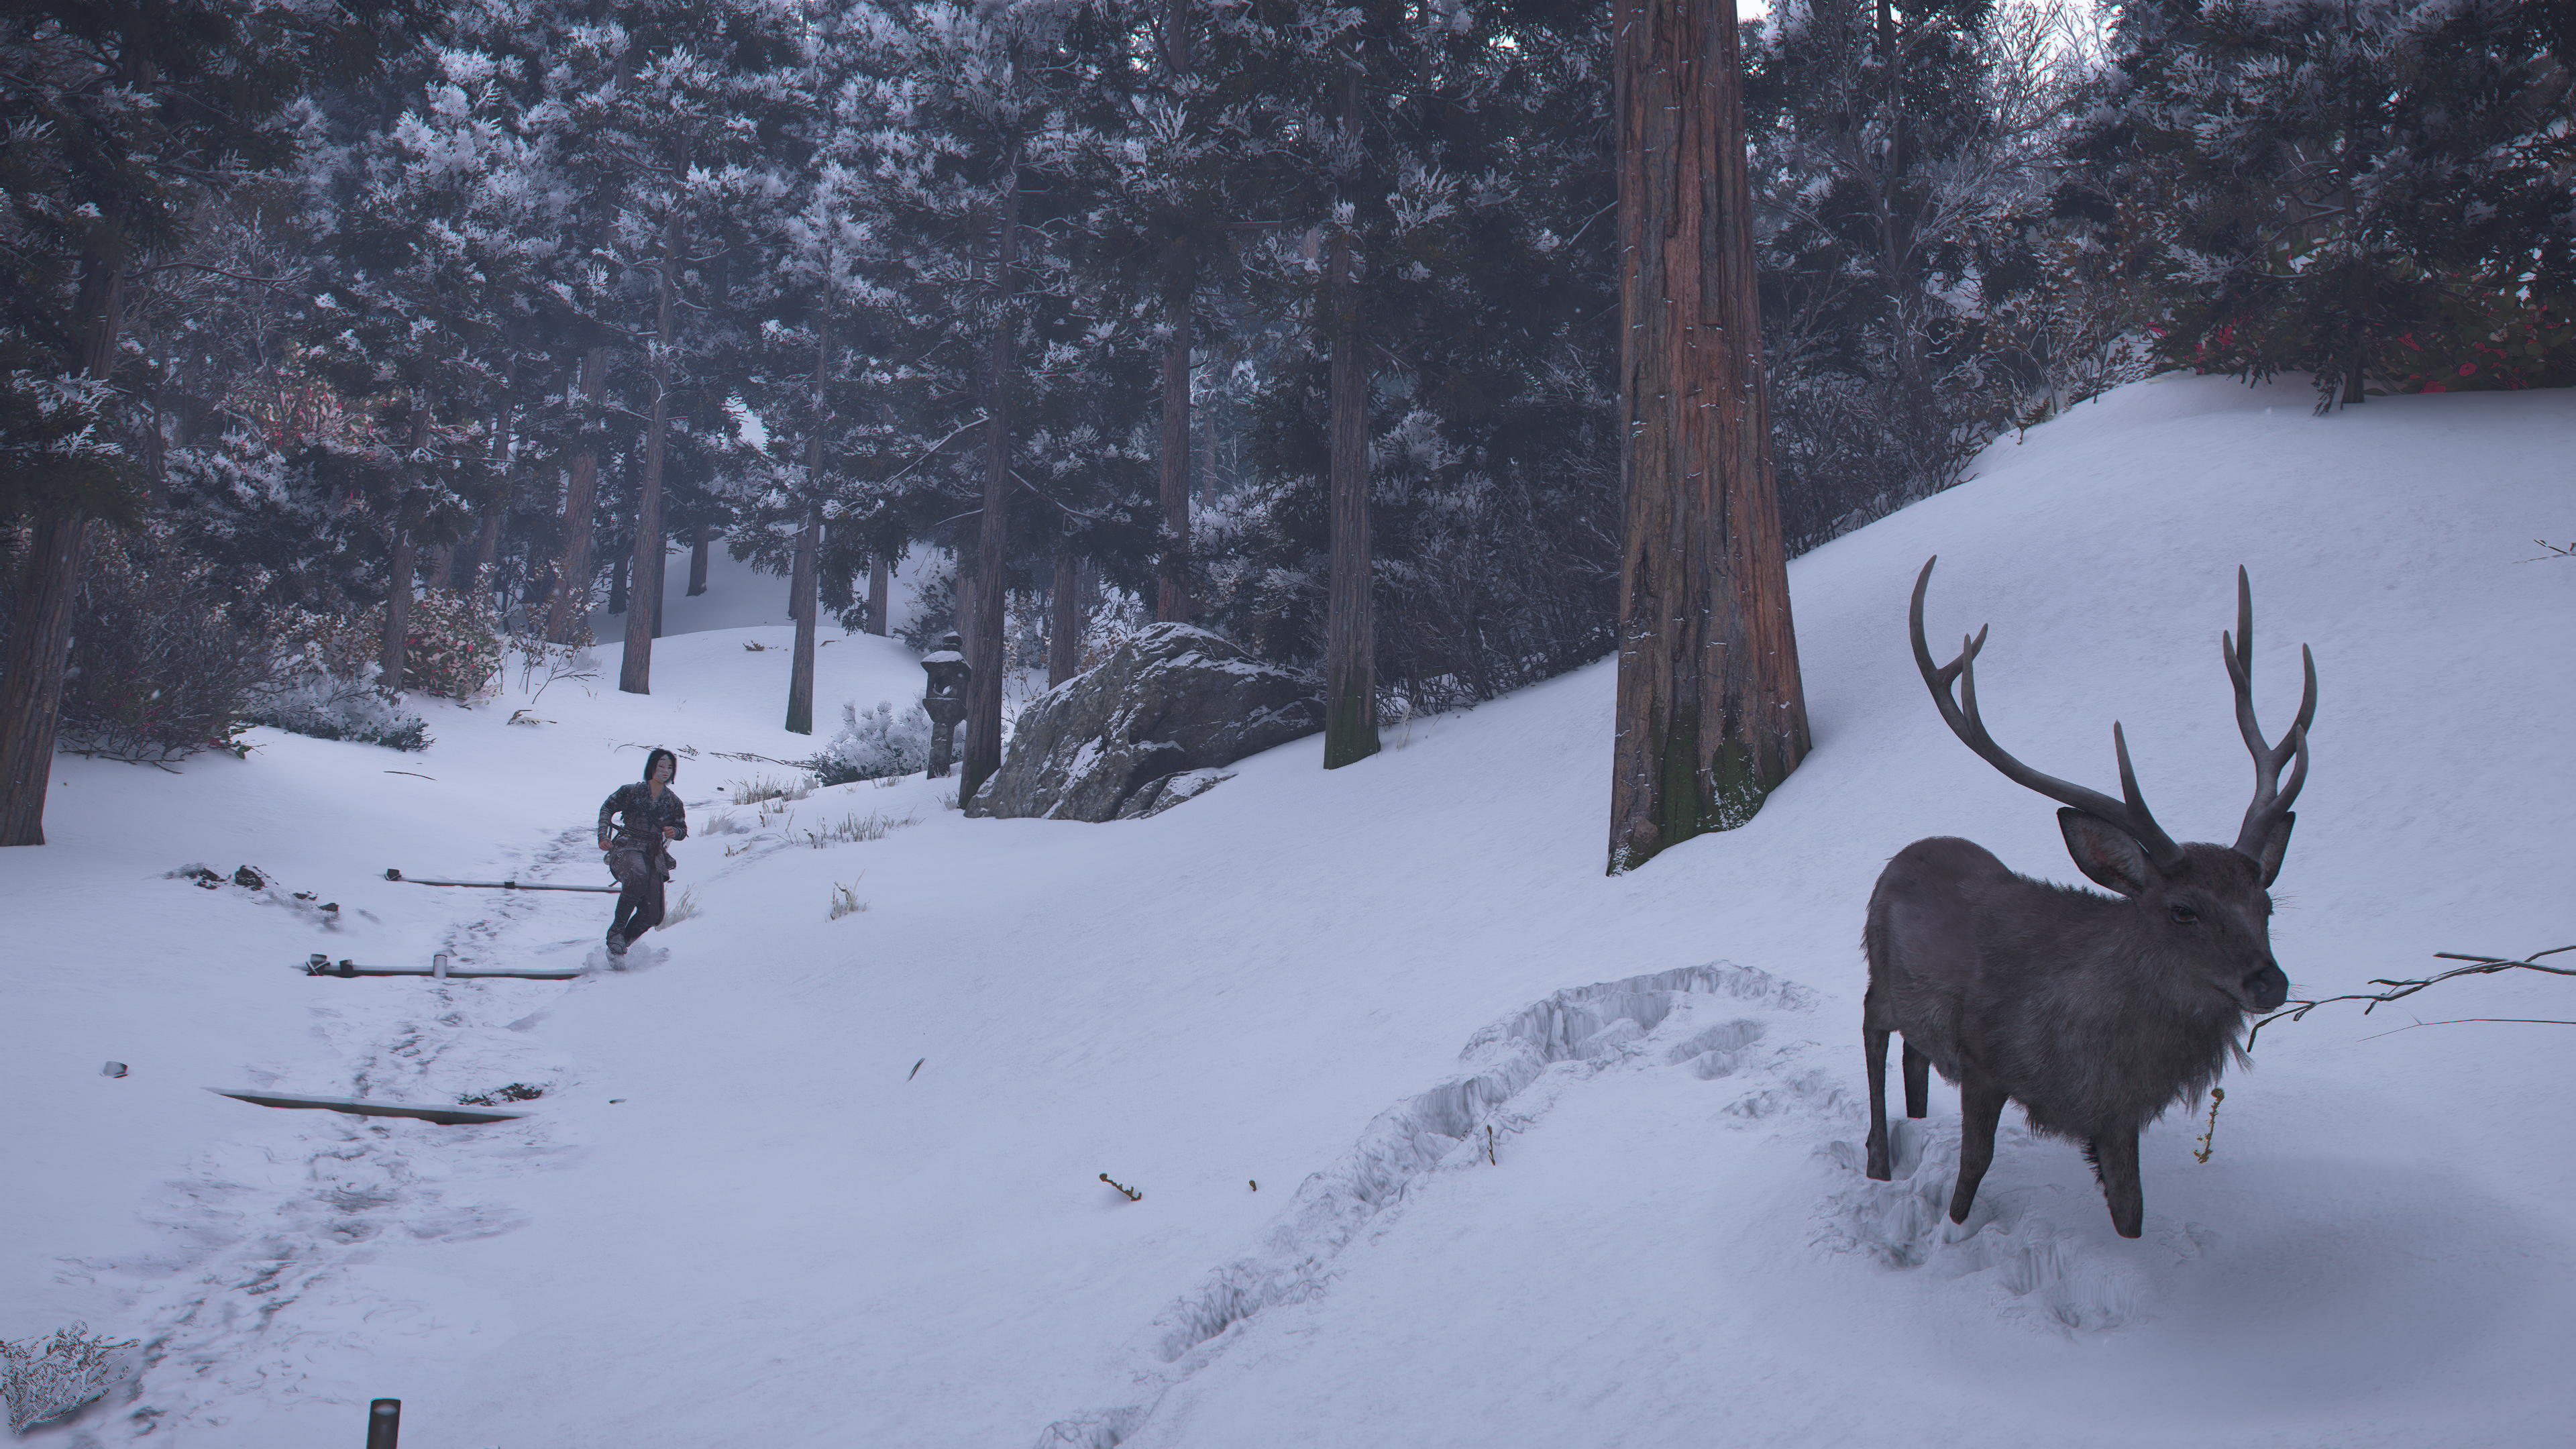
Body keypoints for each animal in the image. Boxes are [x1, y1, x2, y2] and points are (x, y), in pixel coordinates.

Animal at [1863, 557, 2315, 1239]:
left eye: (2266, 906)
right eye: (2183, 910)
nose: (2270, 982)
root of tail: (1906, 853)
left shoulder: (2115, 1110)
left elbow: (2131, 1209)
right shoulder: (1982, 1054)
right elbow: (1974, 1165)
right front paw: (1956, 1228)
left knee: (1915, 1056)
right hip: (1881, 974)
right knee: (1871, 1029)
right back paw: (1879, 1162)